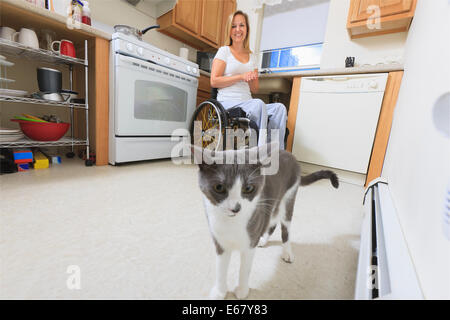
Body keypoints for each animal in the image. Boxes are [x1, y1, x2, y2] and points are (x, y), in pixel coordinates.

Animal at [195, 143, 340, 300]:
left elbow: (244, 269)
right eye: (219, 187)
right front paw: (220, 292)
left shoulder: (250, 242)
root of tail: (289, 153)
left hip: (288, 197)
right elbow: (221, 269)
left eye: (248, 188)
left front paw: (242, 291)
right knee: (272, 221)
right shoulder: (220, 242)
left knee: (285, 228)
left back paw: (287, 252)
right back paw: (263, 240)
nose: (236, 208)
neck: (231, 223)